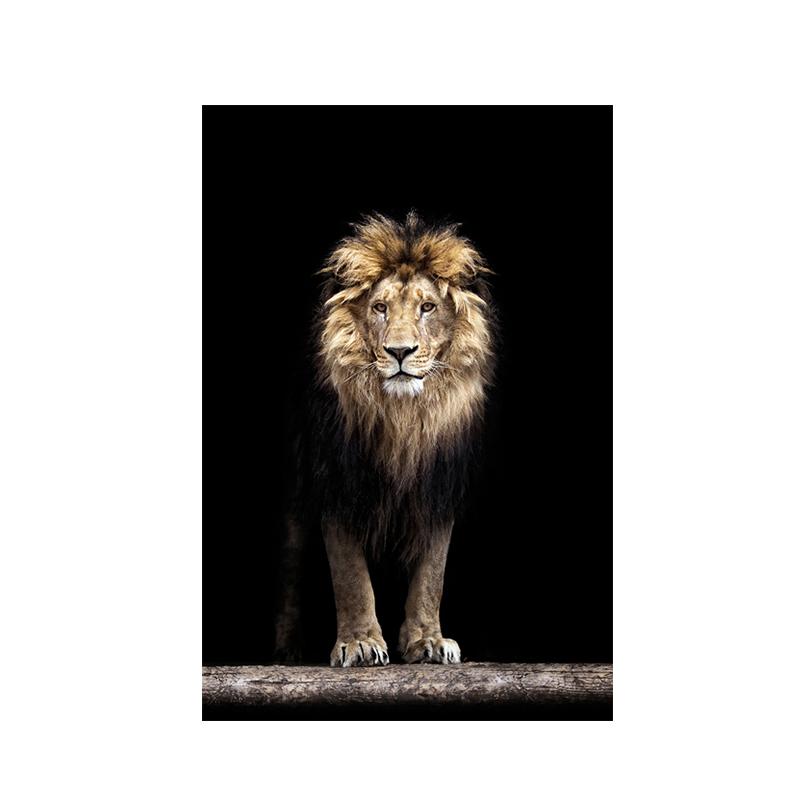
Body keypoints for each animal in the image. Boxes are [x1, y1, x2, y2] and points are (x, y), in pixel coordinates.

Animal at [274, 211, 497, 667]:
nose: (399, 351)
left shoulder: (437, 486)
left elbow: (432, 573)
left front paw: (428, 641)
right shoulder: (338, 479)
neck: (403, 418)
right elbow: (350, 574)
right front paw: (359, 643)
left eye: (427, 307)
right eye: (380, 308)